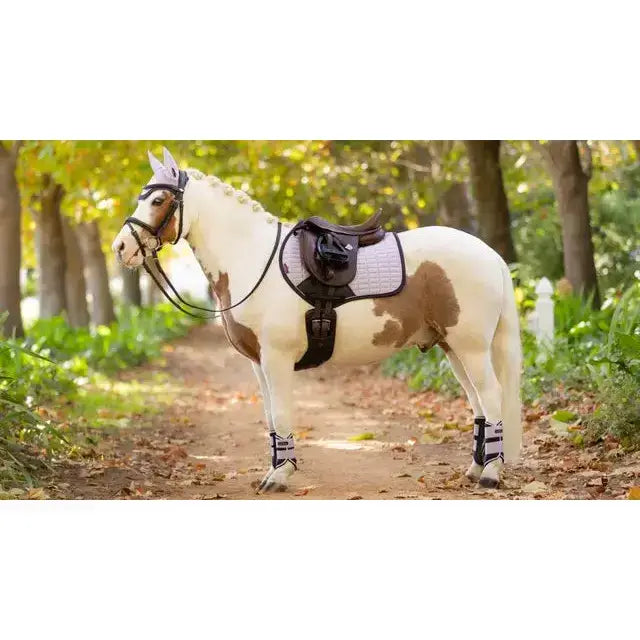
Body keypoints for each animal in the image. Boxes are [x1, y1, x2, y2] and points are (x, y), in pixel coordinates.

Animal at [112, 147, 522, 493]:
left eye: (159, 200)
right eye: (142, 197)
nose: (120, 247)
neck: (252, 257)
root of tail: (489, 254)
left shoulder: (277, 360)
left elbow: (281, 414)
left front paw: (280, 476)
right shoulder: (259, 364)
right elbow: (270, 418)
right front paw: (276, 469)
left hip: (470, 348)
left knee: (491, 397)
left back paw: (490, 473)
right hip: (452, 348)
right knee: (479, 405)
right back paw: (475, 468)